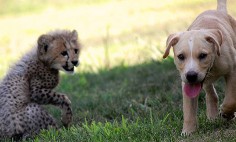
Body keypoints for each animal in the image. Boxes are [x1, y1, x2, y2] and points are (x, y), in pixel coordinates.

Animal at [163, 0, 236, 135]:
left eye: (203, 55)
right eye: (181, 56)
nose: (191, 76)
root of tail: (220, 11)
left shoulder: (233, 70)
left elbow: (231, 98)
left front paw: (226, 112)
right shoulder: (186, 82)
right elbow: (188, 108)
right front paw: (188, 131)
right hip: (205, 82)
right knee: (211, 94)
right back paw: (212, 117)